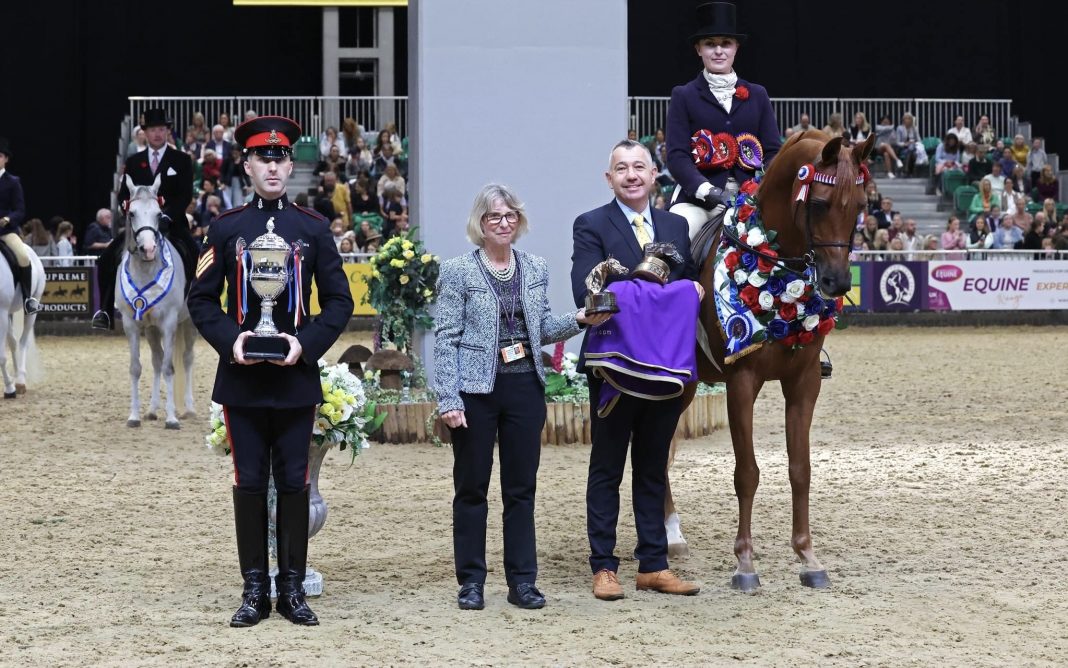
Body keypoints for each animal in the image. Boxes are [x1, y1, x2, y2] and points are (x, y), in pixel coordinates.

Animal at [666, 130, 875, 589]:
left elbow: (801, 468)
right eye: (819, 203)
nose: (836, 283)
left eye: (860, 206)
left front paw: (808, 557)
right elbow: (747, 473)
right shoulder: (742, 382)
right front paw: (745, 563)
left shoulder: (804, 382)